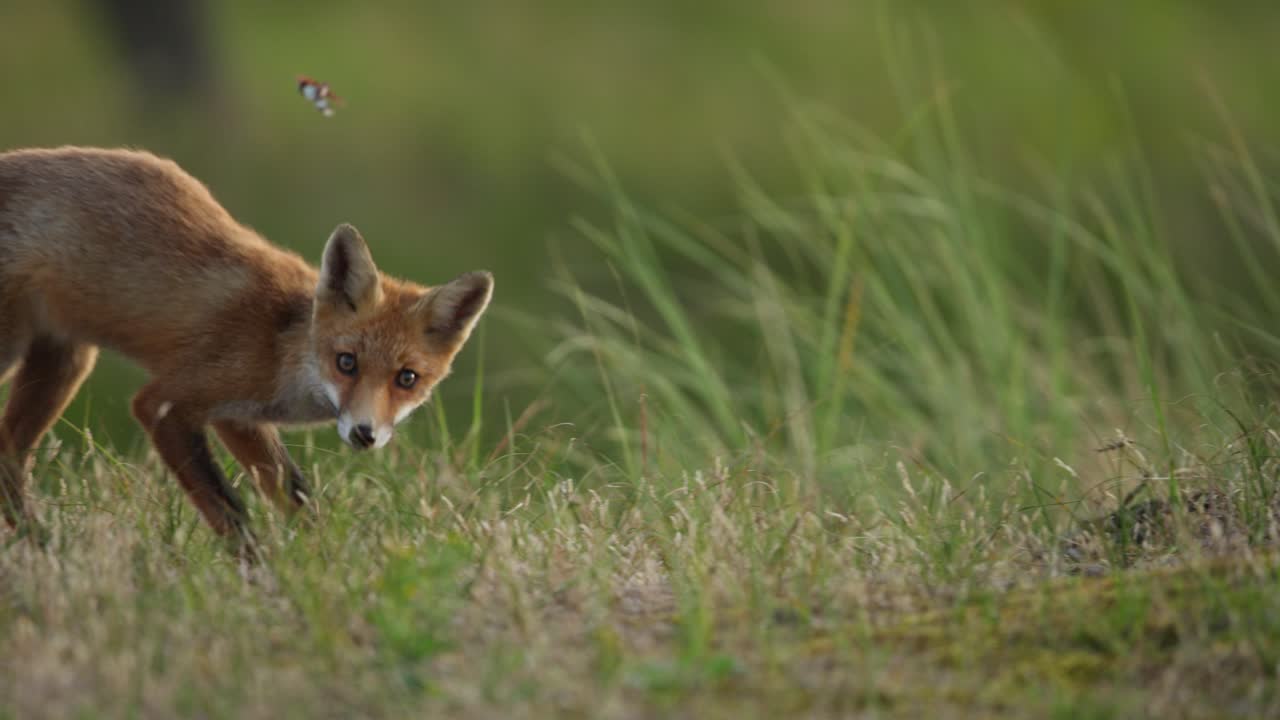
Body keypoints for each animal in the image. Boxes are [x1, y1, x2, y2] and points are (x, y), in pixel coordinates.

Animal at [0, 146, 493, 555]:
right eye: (346, 362)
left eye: (407, 378)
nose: (364, 434)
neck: (280, 347)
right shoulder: (167, 403)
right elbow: (230, 510)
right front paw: (262, 577)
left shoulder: (238, 418)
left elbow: (297, 497)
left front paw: (326, 566)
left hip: (65, 362)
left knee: (9, 454)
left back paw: (40, 546)